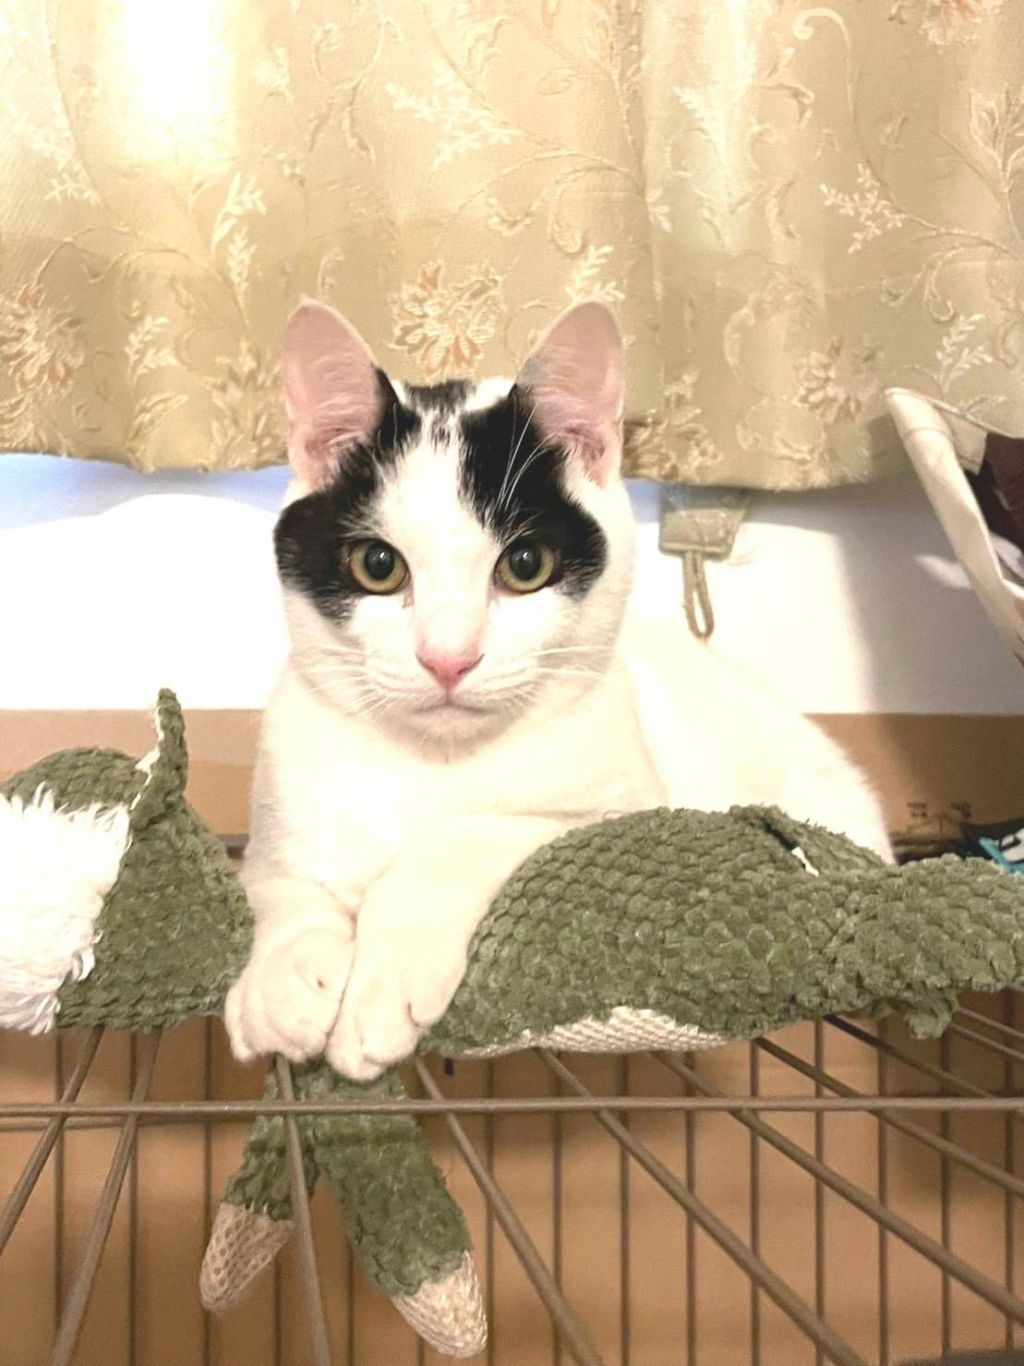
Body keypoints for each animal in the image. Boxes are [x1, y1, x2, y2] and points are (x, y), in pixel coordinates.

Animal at [225, 299, 891, 1081]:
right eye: (379, 566)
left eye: (525, 564)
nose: (447, 657)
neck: (429, 763)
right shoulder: (280, 808)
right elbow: (275, 884)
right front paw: (280, 981)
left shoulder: (622, 809)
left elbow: (464, 838)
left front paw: (380, 986)